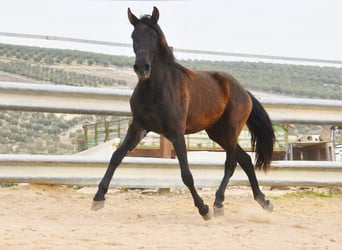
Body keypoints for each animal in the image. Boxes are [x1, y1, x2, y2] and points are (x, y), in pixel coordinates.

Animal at [93, 6, 276, 220]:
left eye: (153, 36)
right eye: (133, 36)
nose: (142, 68)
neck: (155, 90)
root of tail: (243, 91)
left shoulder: (176, 133)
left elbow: (186, 174)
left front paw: (203, 209)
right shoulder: (138, 128)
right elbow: (116, 156)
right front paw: (98, 199)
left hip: (231, 130)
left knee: (231, 164)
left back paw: (218, 204)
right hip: (217, 133)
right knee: (245, 160)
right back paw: (263, 201)